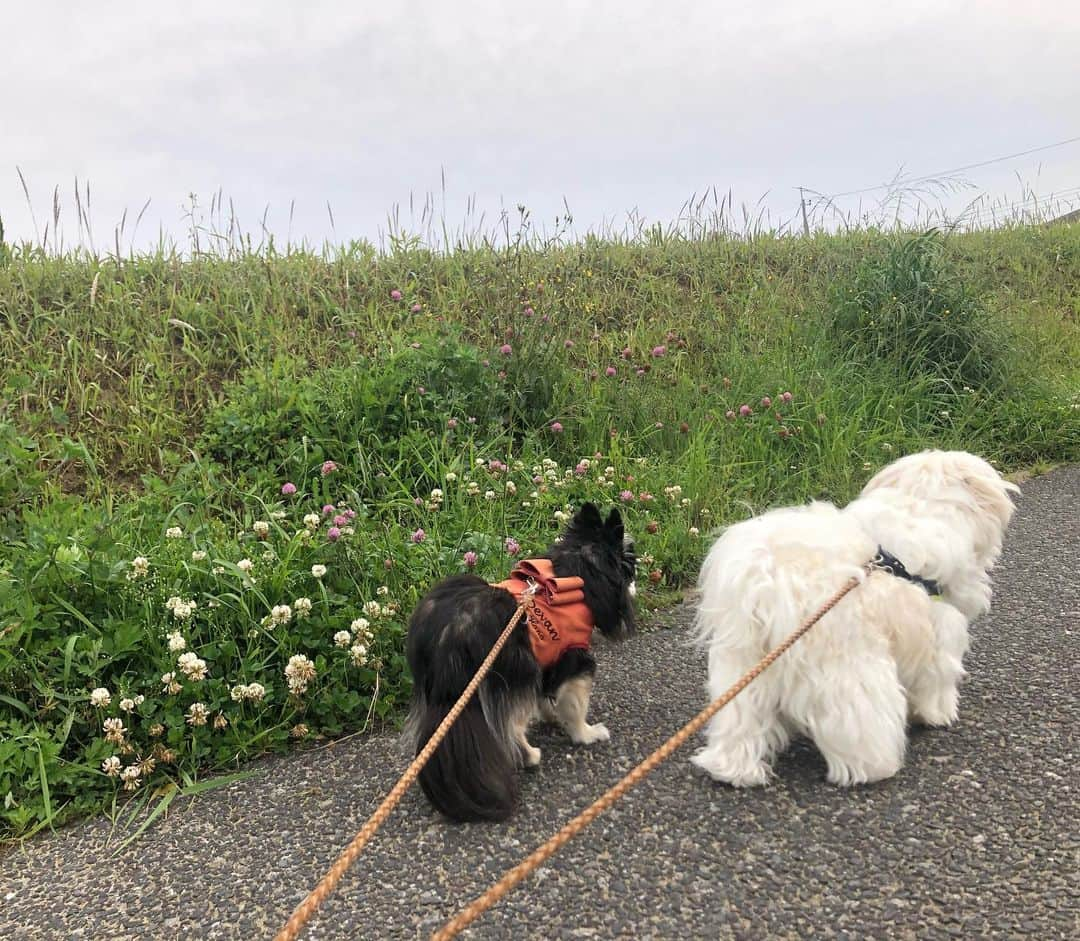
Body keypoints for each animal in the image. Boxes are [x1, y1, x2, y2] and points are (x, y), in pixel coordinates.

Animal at [406, 503, 639, 821]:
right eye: (631, 567)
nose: (637, 587)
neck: (578, 570)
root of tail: (449, 637)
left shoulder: (549, 659)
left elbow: (548, 697)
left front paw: (552, 716)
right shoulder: (574, 662)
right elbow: (575, 706)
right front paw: (586, 734)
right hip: (517, 669)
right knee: (512, 728)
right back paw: (530, 756)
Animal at [695, 451, 1015, 790]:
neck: (921, 504)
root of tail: (768, 584)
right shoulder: (940, 628)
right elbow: (937, 679)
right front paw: (937, 714)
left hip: (744, 667)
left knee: (740, 720)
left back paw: (733, 770)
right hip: (850, 667)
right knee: (857, 721)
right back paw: (873, 768)